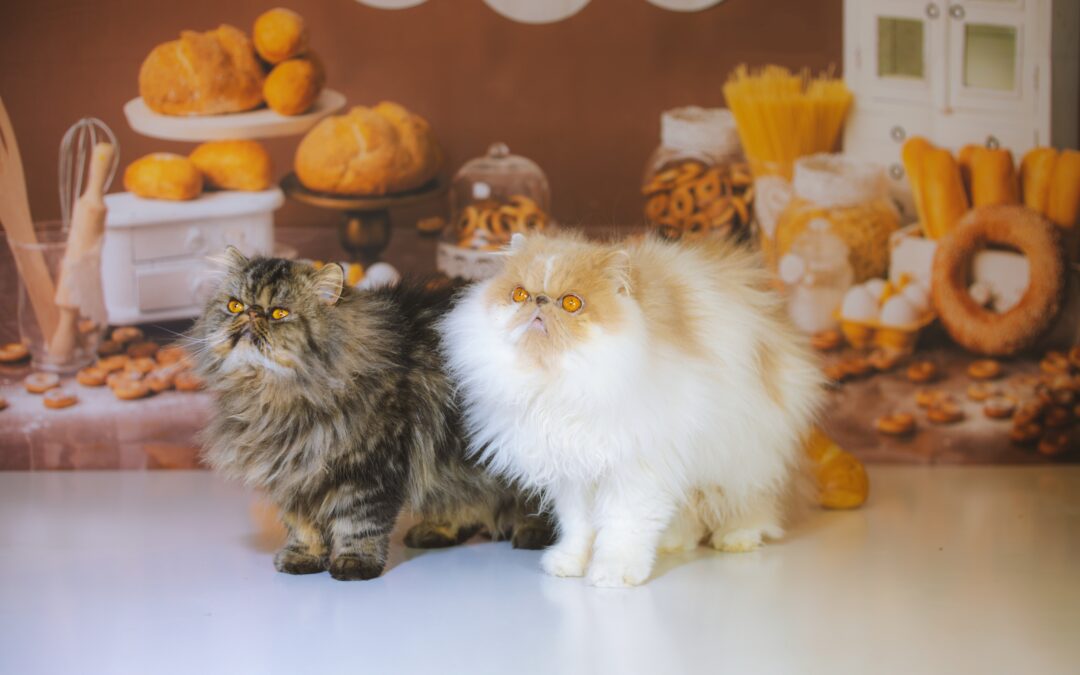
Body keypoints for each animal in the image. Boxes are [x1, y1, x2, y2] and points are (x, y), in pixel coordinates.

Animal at [192, 248, 548, 578]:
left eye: (279, 313)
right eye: (235, 305)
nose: (252, 314)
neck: (276, 397)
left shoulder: (371, 469)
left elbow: (359, 523)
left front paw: (354, 563)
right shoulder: (296, 474)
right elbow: (303, 526)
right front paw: (303, 558)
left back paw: (532, 533)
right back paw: (437, 530)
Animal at [436, 231, 816, 583]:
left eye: (571, 303)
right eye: (519, 295)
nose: (539, 301)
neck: (561, 386)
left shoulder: (637, 470)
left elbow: (623, 526)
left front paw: (613, 572)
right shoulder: (574, 473)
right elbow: (578, 527)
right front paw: (569, 563)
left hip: (744, 455)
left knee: (751, 501)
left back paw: (738, 537)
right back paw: (673, 543)